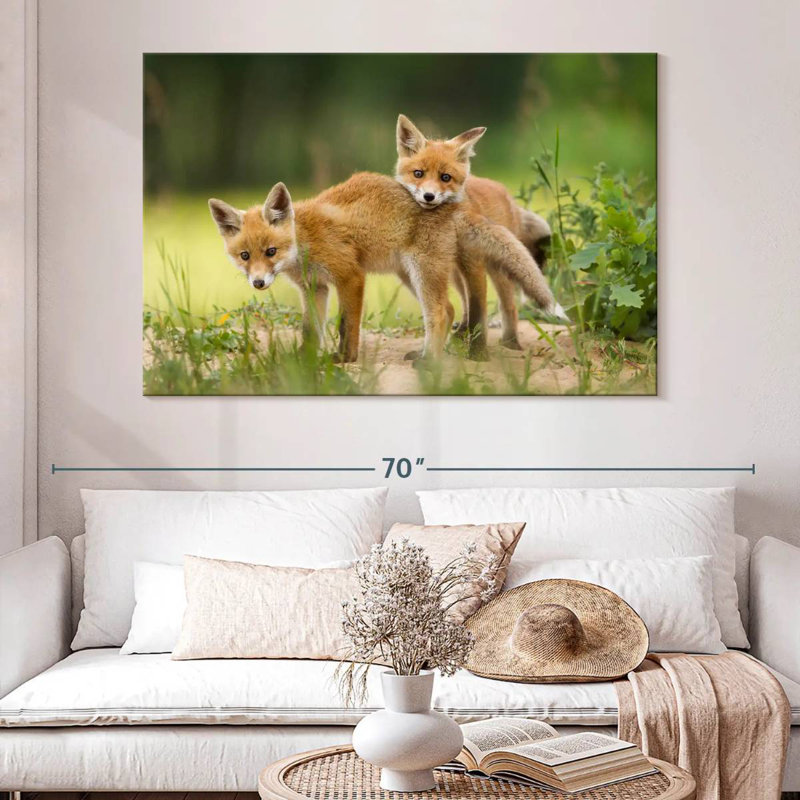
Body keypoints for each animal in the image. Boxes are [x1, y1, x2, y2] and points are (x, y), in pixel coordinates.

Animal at [394, 113, 561, 355]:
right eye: (418, 174)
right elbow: (466, 304)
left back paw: (511, 342)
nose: (428, 196)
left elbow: (478, 307)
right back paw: (462, 332)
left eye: (445, 177)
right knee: (465, 301)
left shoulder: (473, 263)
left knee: (509, 305)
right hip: (455, 272)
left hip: (497, 268)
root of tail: (506, 194)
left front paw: (477, 349)